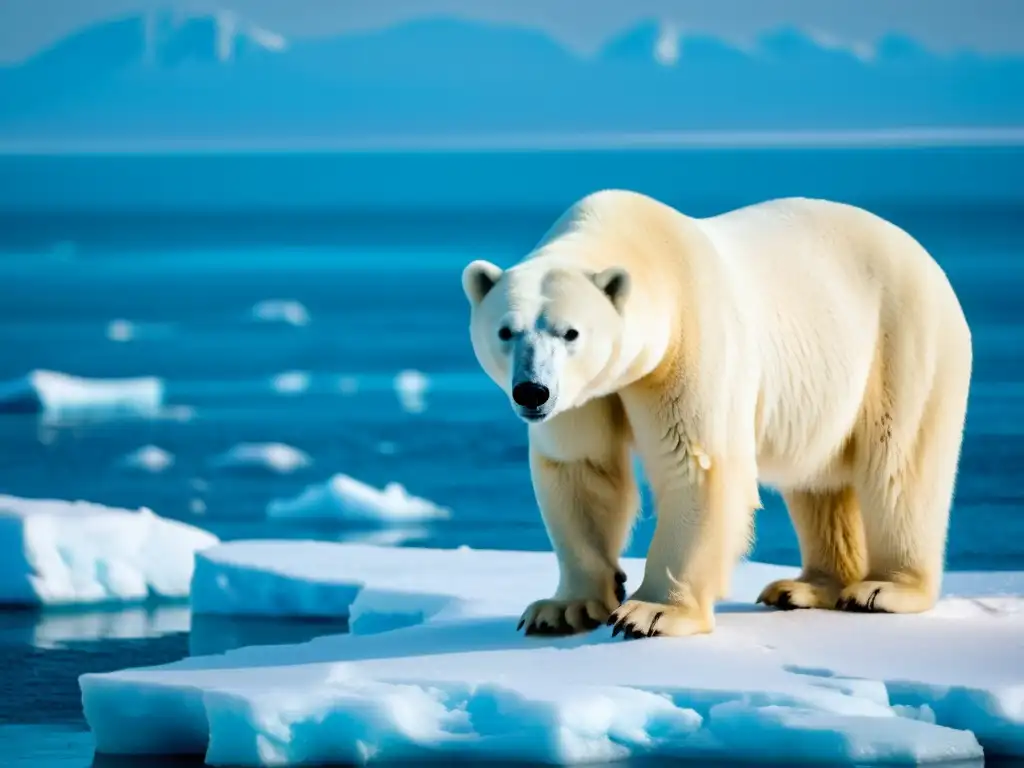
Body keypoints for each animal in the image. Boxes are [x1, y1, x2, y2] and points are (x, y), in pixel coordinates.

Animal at [460, 189, 970, 638]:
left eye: (570, 332)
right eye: (506, 331)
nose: (532, 392)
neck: (647, 249)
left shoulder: (690, 338)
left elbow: (696, 463)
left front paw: (650, 614)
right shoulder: (585, 395)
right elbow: (581, 466)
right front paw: (563, 609)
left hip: (902, 342)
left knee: (899, 466)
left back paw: (883, 589)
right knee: (819, 479)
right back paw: (804, 586)